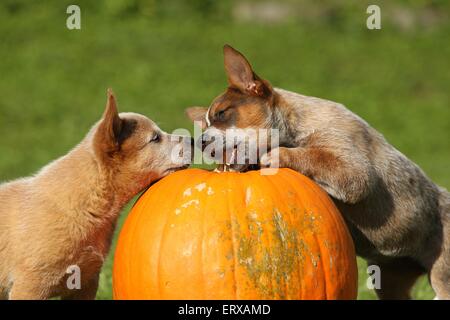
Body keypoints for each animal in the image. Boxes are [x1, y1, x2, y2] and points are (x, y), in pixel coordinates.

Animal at [185, 45, 448, 300]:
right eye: (205, 124)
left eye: (222, 113)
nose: (199, 141)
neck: (294, 125)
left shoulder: (354, 172)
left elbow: (313, 156)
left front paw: (276, 156)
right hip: (390, 280)